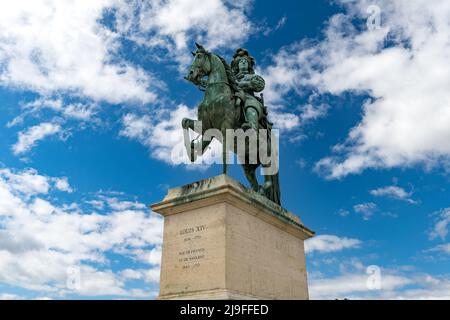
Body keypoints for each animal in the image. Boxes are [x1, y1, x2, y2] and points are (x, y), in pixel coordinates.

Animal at [181, 42, 280, 205]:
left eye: (200, 56)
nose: (190, 74)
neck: (215, 95)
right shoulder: (206, 128)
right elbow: (185, 122)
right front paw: (192, 150)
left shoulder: (225, 127)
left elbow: (224, 155)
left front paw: (224, 177)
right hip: (247, 162)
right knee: (253, 179)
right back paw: (258, 193)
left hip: (266, 153)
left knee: (268, 180)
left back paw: (263, 190)